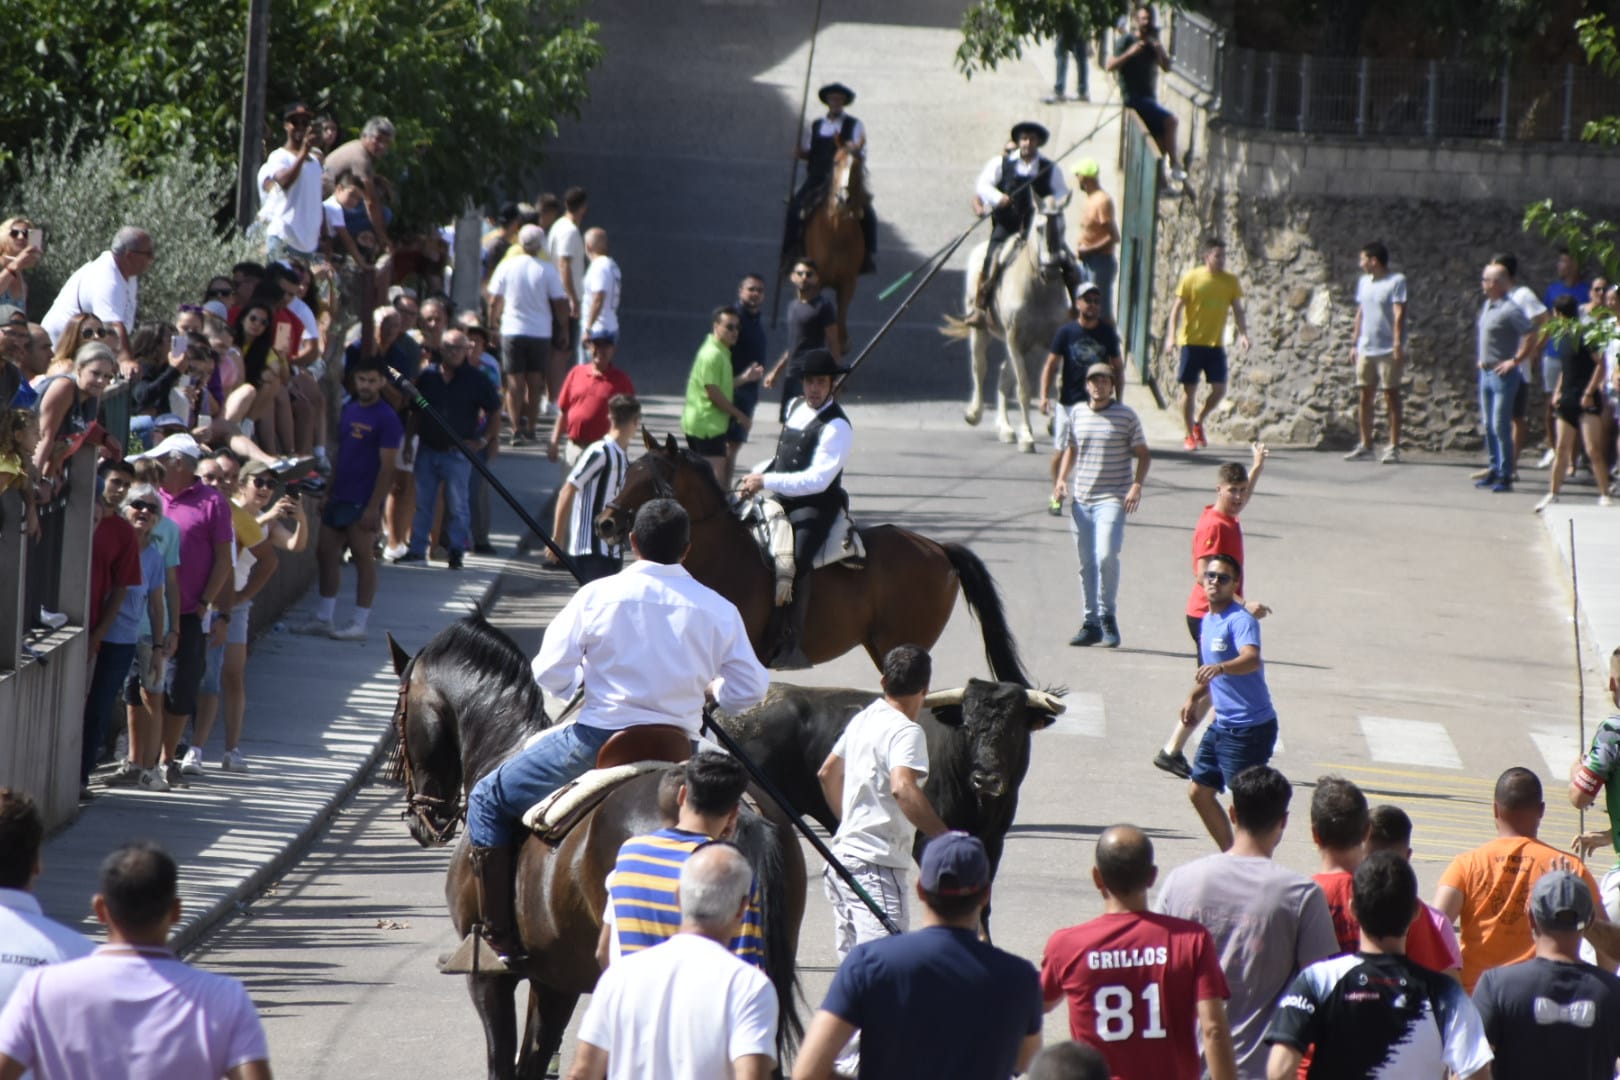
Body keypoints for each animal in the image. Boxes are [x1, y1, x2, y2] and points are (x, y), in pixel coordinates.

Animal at [385, 615, 803, 1080]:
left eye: (399, 715)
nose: (421, 819)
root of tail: (736, 808)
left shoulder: (488, 979)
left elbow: (505, 1063)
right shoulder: (556, 981)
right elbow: (533, 1057)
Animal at [592, 433, 1023, 680]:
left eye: (654, 484)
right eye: (627, 472)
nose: (605, 523)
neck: (725, 555)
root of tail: (938, 548)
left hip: (901, 645)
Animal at [803, 141, 868, 346]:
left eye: (858, 165)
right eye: (836, 162)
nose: (843, 199)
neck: (836, 234)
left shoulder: (848, 282)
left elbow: (840, 321)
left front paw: (842, 342)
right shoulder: (815, 282)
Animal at [946, 197, 1069, 453]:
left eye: (1063, 227)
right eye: (1039, 228)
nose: (1052, 270)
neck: (1038, 290)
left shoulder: (1050, 342)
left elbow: (1060, 383)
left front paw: (1054, 425)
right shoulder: (1015, 341)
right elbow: (1024, 389)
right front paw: (1027, 437)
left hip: (1030, 349)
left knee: (1003, 375)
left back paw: (1006, 429)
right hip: (982, 332)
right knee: (980, 367)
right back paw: (975, 414)